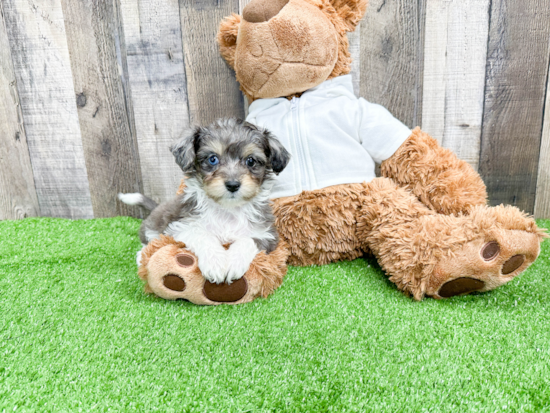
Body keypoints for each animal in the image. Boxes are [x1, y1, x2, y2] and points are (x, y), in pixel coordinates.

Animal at [118, 117, 292, 282]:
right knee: (148, 240)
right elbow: (202, 235)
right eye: (212, 159)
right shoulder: (180, 227)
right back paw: (141, 256)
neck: (227, 210)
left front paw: (234, 262)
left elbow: (247, 240)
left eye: (251, 161)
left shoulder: (267, 233)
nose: (233, 185)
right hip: (155, 225)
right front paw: (215, 262)